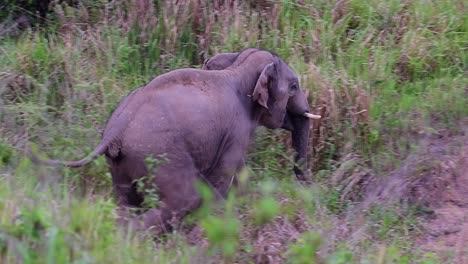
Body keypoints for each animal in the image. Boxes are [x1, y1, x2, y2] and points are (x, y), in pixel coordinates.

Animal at [29, 48, 320, 234]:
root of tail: (115, 131)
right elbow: (222, 181)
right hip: (159, 154)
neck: (236, 68)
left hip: (121, 162)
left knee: (125, 202)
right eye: (294, 86)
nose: (308, 194)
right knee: (182, 199)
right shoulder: (236, 131)